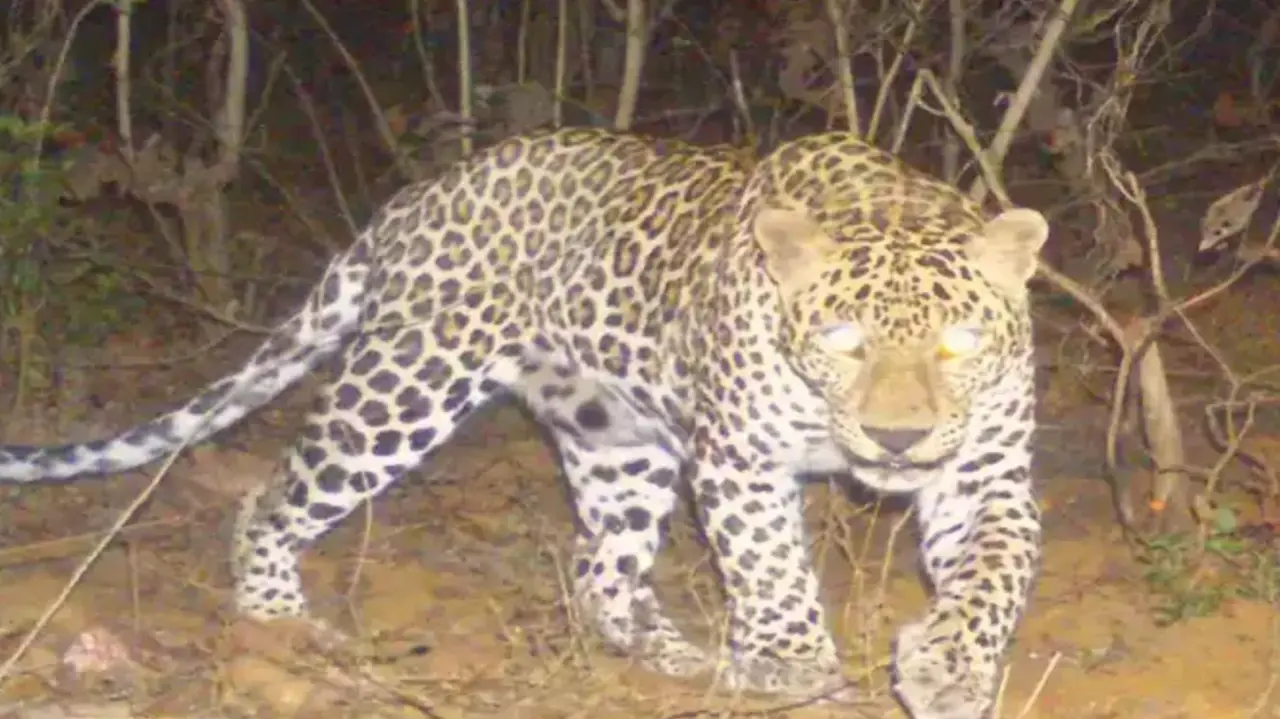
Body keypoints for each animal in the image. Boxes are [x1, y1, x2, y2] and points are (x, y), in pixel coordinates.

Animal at [0, 127, 1049, 718]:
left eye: (958, 342)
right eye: (840, 339)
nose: (897, 440)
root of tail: (419, 196)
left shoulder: (986, 474)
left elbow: (993, 572)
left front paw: (950, 669)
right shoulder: (741, 459)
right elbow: (770, 563)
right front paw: (793, 664)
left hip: (619, 444)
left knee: (598, 569)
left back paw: (671, 654)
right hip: (405, 385)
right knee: (273, 490)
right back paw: (276, 621)